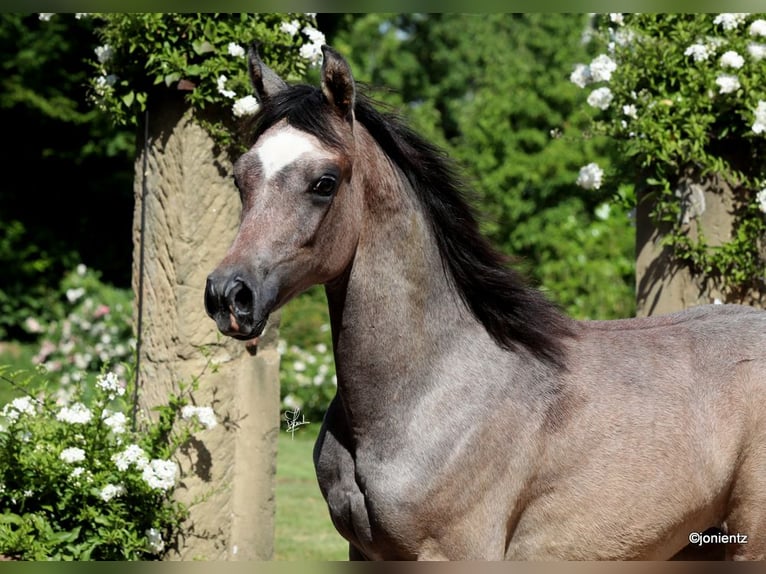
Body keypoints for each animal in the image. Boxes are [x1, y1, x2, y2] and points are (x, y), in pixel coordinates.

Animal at [204, 44, 766, 564]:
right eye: (241, 175)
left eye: (324, 182)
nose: (229, 295)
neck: (431, 389)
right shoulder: (363, 552)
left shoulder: (455, 550)